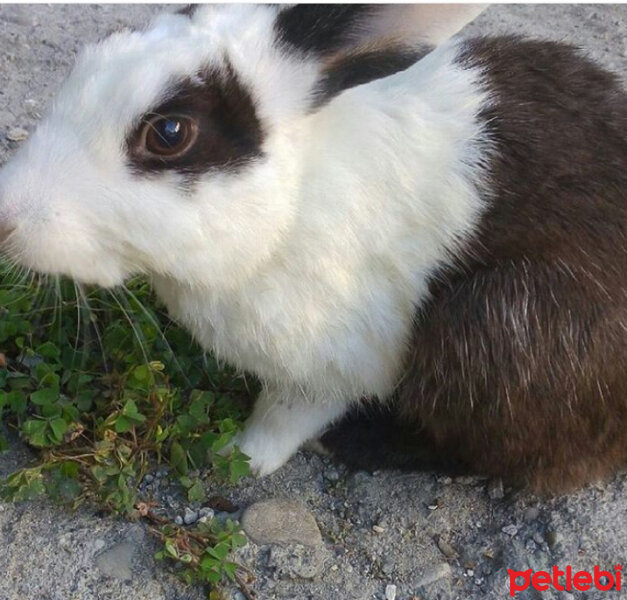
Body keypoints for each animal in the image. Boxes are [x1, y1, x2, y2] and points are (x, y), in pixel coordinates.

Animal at [1, 4, 627, 490]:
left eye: (170, 133)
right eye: (87, 61)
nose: (6, 216)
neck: (291, 202)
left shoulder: (329, 362)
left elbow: (286, 417)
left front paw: (237, 457)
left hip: (496, 325)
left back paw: (358, 443)